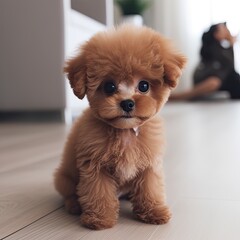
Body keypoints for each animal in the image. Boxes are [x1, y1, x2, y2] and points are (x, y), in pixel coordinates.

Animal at [54, 25, 186, 230]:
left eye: (144, 85)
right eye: (109, 86)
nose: (127, 103)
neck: (125, 132)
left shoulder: (149, 164)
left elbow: (150, 188)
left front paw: (154, 212)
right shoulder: (95, 166)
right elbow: (98, 192)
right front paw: (100, 219)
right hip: (64, 179)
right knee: (69, 193)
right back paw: (74, 205)